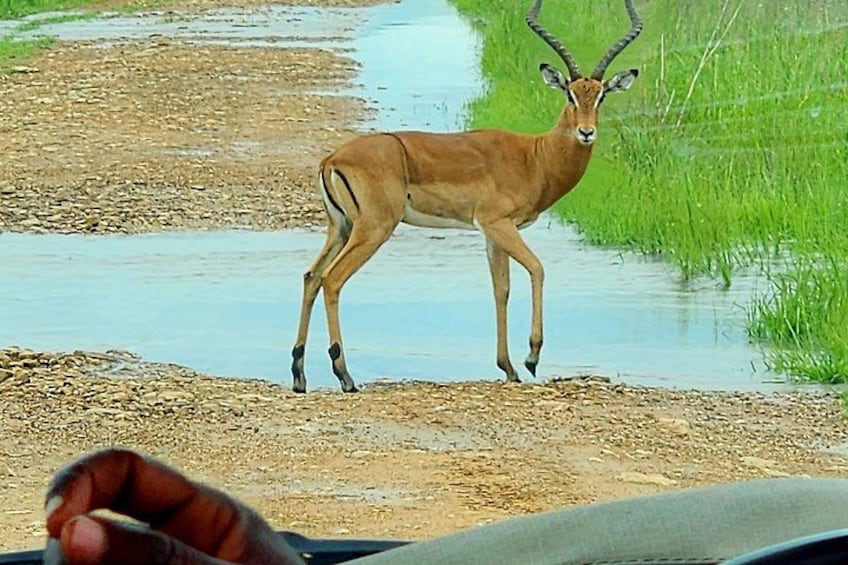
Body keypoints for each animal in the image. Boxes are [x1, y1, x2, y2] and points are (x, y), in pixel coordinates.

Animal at [291, 0, 643, 393]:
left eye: (601, 94)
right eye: (569, 93)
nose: (586, 132)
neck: (534, 157)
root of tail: (332, 159)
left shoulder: (491, 233)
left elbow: (500, 289)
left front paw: (508, 367)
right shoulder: (499, 223)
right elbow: (537, 268)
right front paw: (531, 358)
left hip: (341, 228)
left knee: (311, 276)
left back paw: (299, 375)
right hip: (374, 228)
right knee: (332, 279)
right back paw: (345, 376)